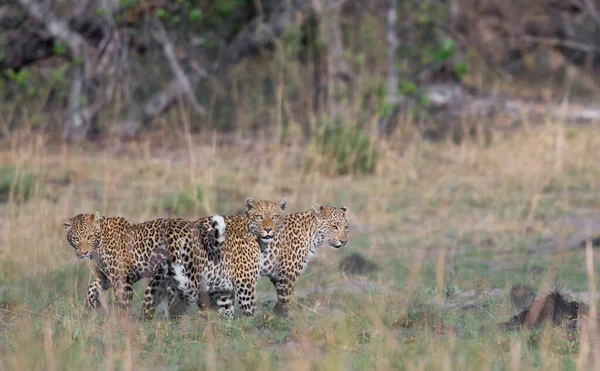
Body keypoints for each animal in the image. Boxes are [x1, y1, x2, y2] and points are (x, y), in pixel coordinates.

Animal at [63, 212, 226, 316]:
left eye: (89, 237)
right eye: (76, 239)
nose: (83, 253)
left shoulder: (121, 277)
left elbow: (123, 303)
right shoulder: (107, 276)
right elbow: (91, 288)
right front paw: (93, 304)